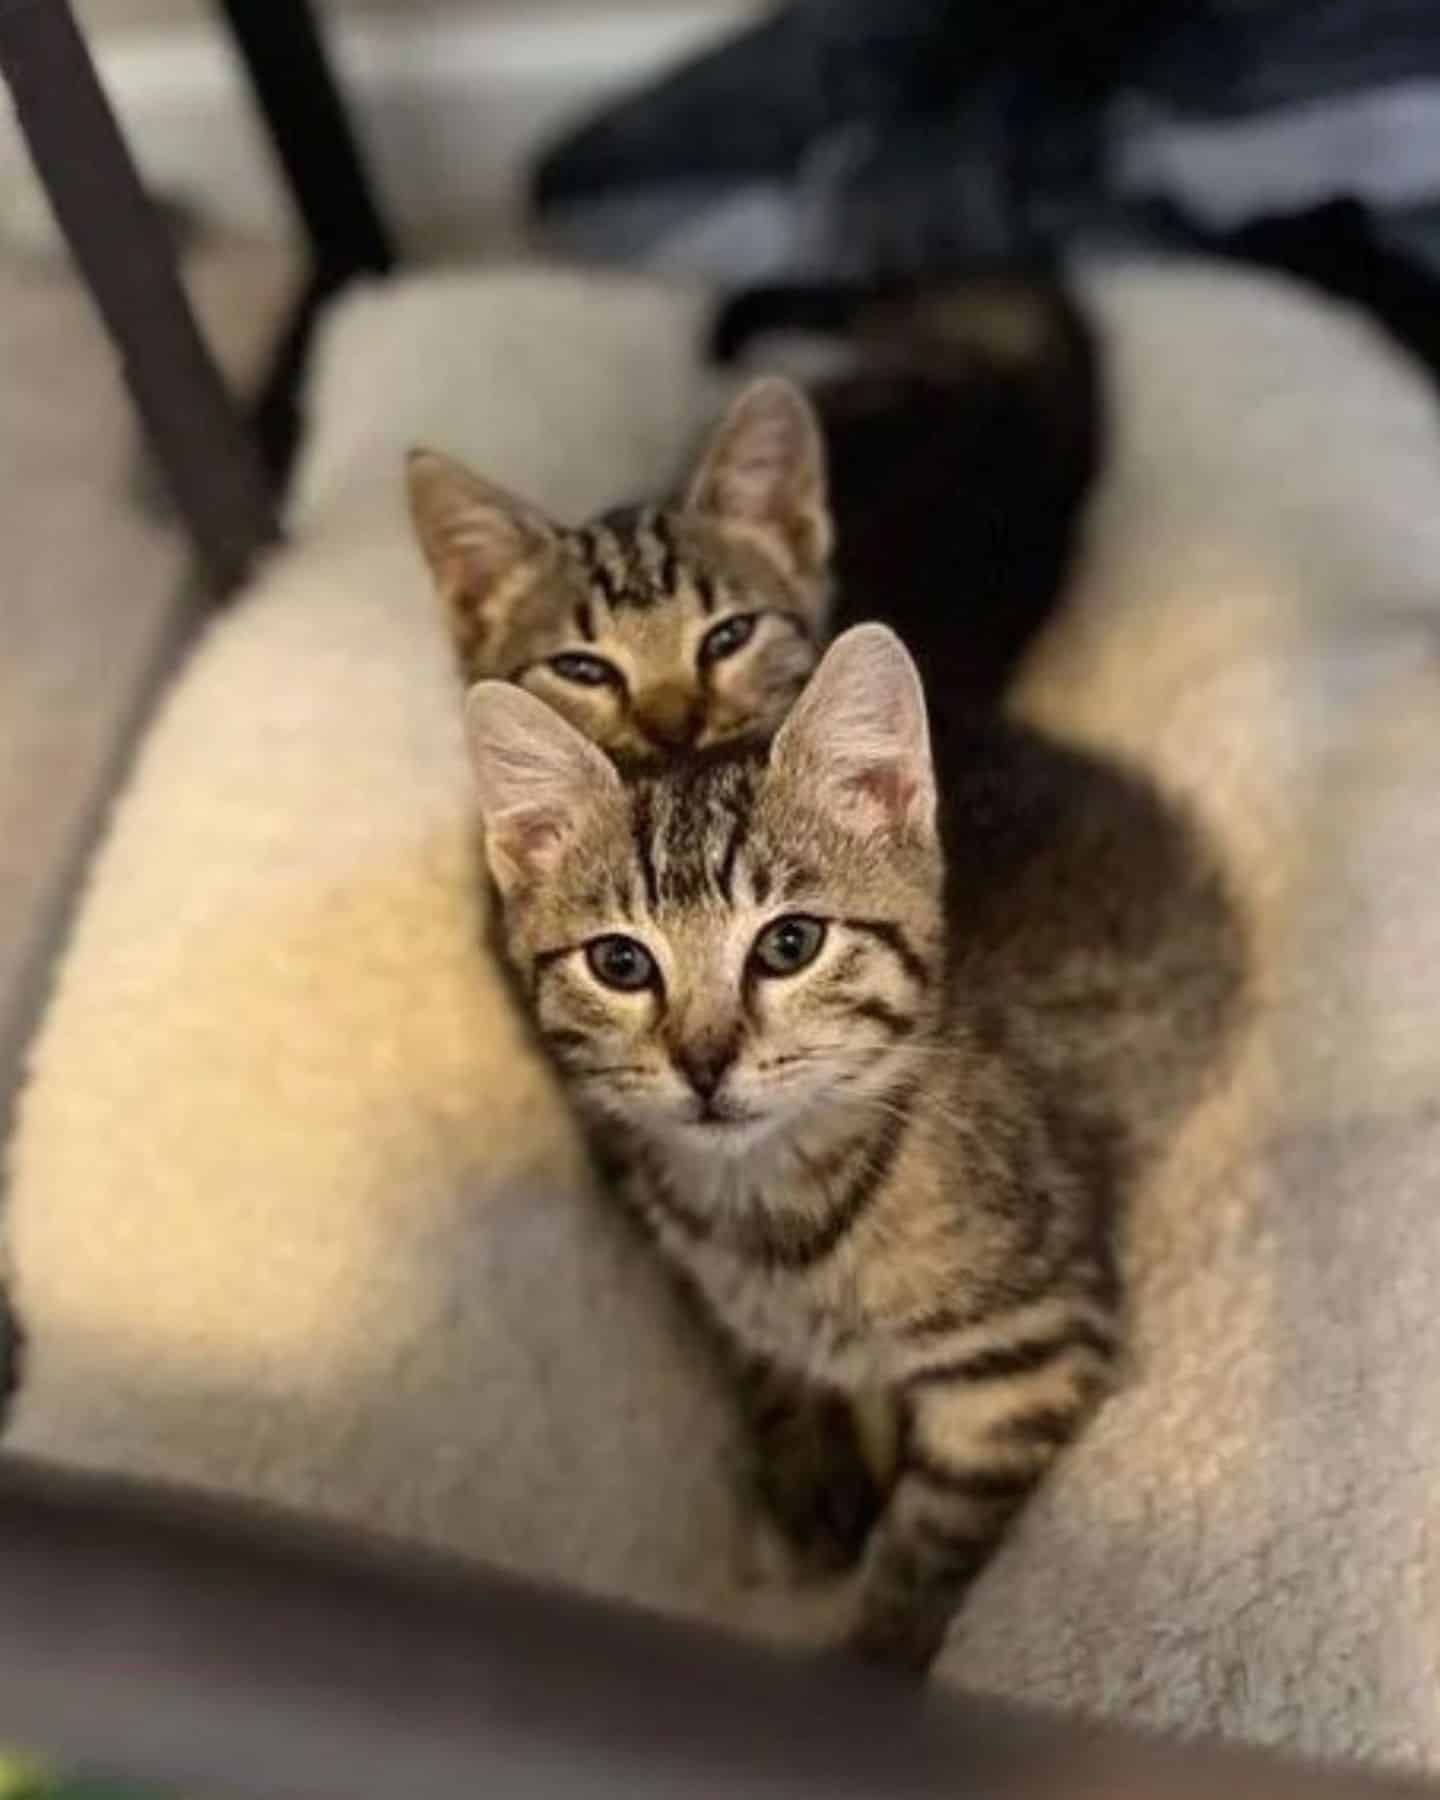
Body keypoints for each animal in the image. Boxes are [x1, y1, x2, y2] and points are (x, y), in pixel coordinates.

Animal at [468, 622, 1245, 1670]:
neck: (771, 1206)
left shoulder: (1032, 1351)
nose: (703, 1065)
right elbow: (771, 1372)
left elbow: (933, 1536)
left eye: (789, 944)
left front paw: (877, 1657)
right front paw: (811, 1481)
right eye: (620, 962)